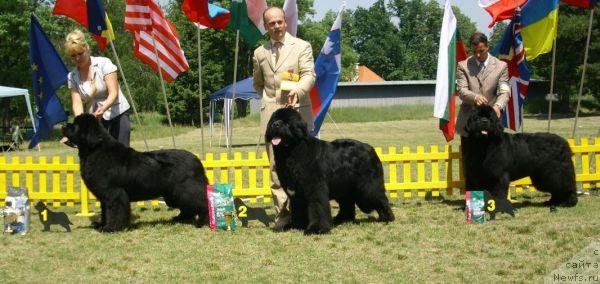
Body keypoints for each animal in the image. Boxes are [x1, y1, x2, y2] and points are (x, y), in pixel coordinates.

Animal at [61, 114, 209, 232]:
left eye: (75, 126)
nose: (63, 125)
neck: (96, 150)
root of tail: (197, 160)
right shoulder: (104, 196)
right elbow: (105, 212)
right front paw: (101, 225)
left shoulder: (114, 193)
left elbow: (114, 211)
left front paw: (111, 228)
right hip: (174, 193)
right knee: (188, 207)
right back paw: (180, 218)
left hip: (186, 190)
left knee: (202, 202)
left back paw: (203, 222)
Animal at [266, 107, 394, 234]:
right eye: (274, 119)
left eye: (287, 122)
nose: (276, 124)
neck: (291, 152)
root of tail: (371, 148)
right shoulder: (296, 194)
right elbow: (298, 210)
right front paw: (295, 225)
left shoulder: (315, 188)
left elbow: (317, 207)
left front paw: (316, 228)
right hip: (344, 187)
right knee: (347, 204)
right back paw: (340, 219)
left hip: (367, 187)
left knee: (379, 198)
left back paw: (387, 218)